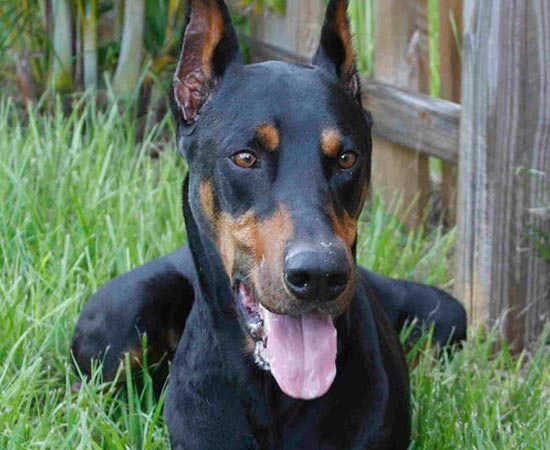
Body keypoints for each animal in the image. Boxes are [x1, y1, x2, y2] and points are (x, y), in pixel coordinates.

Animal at [69, 1, 468, 448]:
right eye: (245, 158)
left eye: (347, 158)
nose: (319, 276)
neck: (273, 393)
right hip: (126, 312)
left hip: (445, 313)